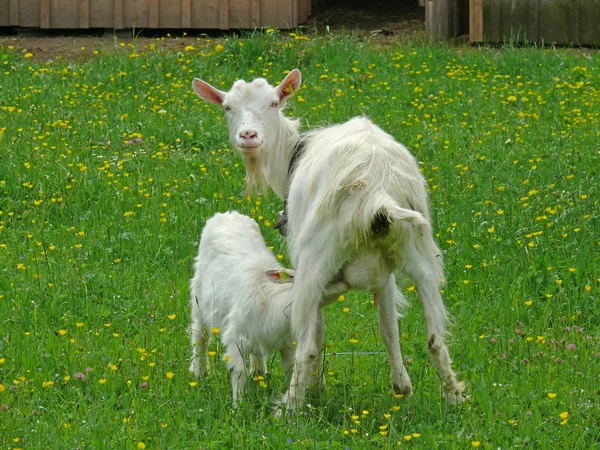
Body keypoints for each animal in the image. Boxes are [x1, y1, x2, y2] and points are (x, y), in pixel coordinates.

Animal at [190, 211, 344, 404]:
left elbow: (289, 368)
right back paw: (200, 373)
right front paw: (238, 406)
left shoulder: (287, 342)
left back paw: (259, 373)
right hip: (199, 298)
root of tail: (227, 214)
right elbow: (239, 372)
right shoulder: (235, 338)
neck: (275, 302)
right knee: (200, 335)